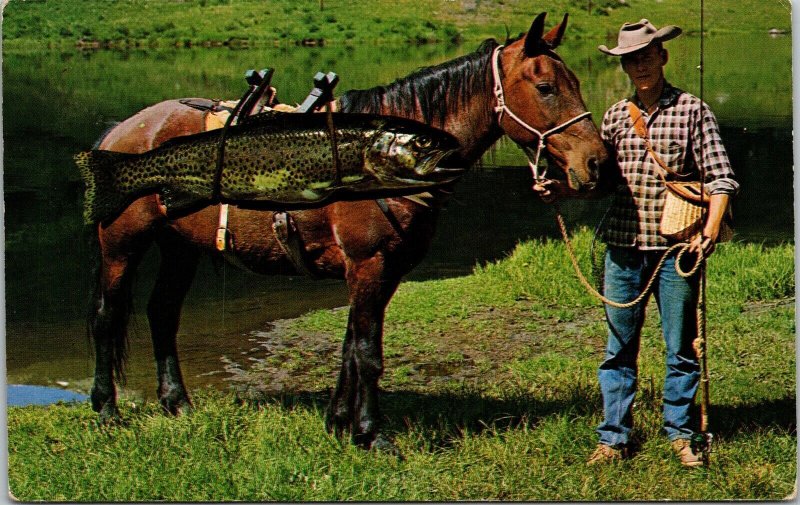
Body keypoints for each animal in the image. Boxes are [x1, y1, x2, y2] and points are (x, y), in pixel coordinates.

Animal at [87, 11, 608, 446]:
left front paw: (338, 423)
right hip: (122, 244)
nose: (595, 161)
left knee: (162, 313)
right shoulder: (368, 263)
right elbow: (368, 352)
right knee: (107, 317)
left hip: (181, 247)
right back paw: (107, 410)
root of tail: (119, 134)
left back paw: (176, 403)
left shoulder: (386, 271)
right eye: (545, 87)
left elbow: (350, 348)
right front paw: (370, 433)